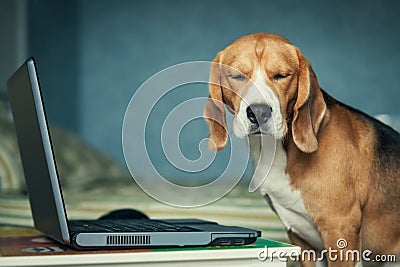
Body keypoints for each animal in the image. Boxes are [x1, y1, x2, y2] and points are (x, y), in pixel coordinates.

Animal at [205, 33, 398, 266]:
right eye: (237, 76)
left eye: (281, 75)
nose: (259, 112)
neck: (280, 151)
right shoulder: (302, 241)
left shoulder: (340, 229)